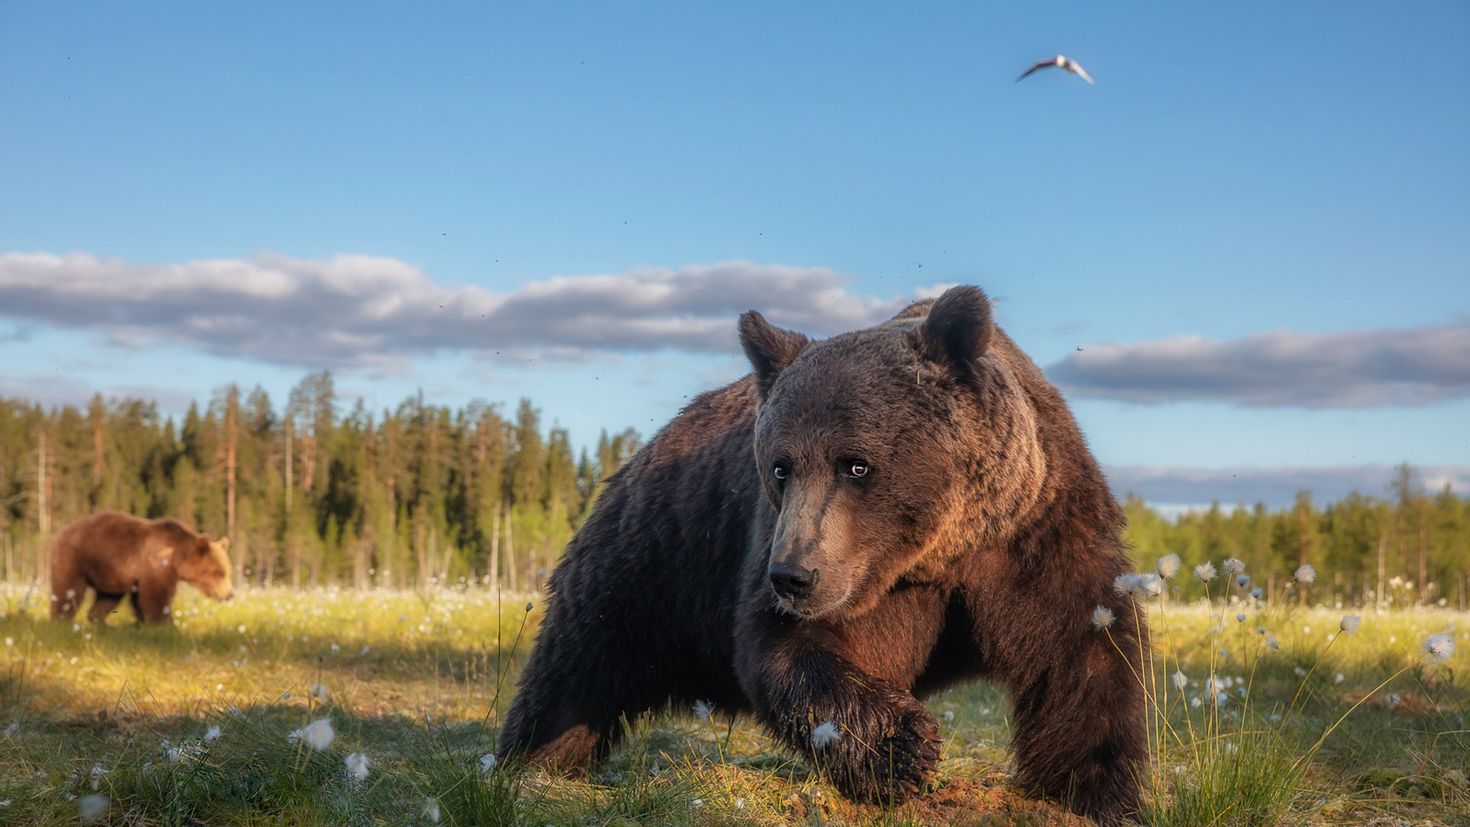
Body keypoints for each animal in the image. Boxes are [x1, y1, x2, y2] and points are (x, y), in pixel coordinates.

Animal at [50, 508, 233, 625]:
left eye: (227, 572)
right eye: (219, 573)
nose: (229, 595)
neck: (175, 558)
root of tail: (64, 530)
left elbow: (140, 601)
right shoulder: (156, 567)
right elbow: (156, 598)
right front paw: (165, 625)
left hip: (109, 573)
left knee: (107, 598)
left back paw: (98, 620)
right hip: (76, 558)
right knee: (68, 589)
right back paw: (60, 619)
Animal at [499, 286, 1152, 827]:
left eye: (856, 464)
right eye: (780, 466)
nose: (792, 576)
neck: (939, 554)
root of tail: (649, 446)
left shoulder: (1036, 535)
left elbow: (1082, 656)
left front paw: (1095, 795)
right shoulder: (830, 569)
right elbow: (793, 652)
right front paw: (903, 748)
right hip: (656, 560)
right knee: (579, 666)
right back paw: (529, 766)